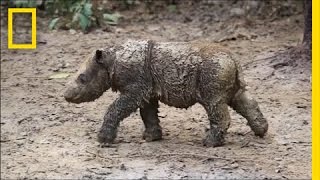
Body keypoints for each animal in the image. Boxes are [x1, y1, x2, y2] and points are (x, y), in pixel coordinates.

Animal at [63, 40, 268, 147]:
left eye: (82, 78)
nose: (66, 95)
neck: (110, 61)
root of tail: (234, 59)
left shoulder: (135, 89)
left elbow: (115, 109)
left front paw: (103, 140)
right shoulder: (146, 91)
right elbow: (148, 114)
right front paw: (151, 138)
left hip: (214, 71)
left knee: (213, 103)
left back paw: (209, 142)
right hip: (226, 71)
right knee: (240, 98)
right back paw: (262, 132)